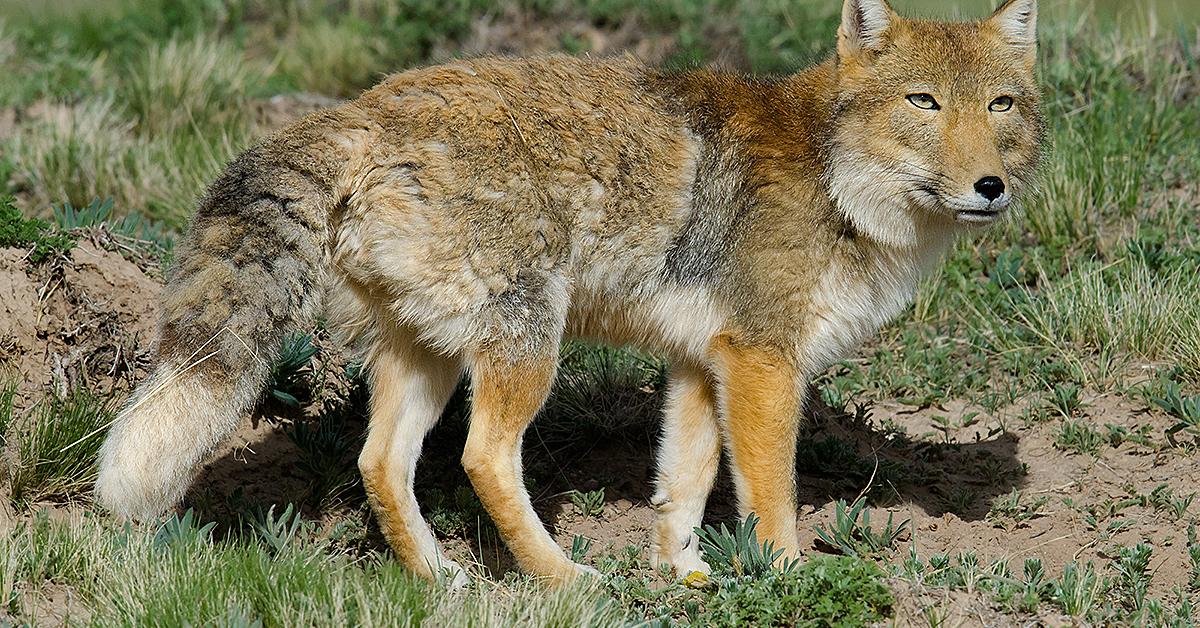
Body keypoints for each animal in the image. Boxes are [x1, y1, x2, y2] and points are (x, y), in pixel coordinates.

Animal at [93, 0, 1041, 588]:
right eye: (923, 103)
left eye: (1000, 106)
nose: (991, 187)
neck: (836, 180)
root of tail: (363, 110)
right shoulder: (764, 363)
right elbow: (771, 495)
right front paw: (787, 580)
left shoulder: (701, 365)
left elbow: (683, 487)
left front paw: (684, 575)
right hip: (527, 349)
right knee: (483, 458)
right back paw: (560, 579)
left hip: (430, 360)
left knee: (378, 465)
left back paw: (445, 580)